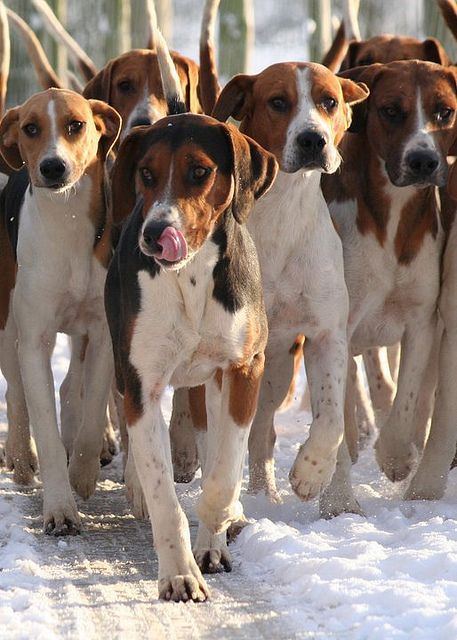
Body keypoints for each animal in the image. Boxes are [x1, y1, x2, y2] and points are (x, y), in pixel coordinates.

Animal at [0, 87, 121, 532]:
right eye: (30, 128)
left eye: (76, 125)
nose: (53, 166)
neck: (66, 221)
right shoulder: (34, 340)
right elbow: (47, 432)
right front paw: (60, 508)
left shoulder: (103, 334)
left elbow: (92, 411)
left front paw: (82, 474)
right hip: (8, 325)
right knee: (16, 393)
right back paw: (21, 456)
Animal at [104, 112, 276, 604]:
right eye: (146, 173)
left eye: (200, 171)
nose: (154, 234)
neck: (192, 276)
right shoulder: (142, 383)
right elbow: (164, 493)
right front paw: (179, 574)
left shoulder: (245, 367)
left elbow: (224, 471)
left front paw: (217, 527)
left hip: (211, 380)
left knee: (213, 440)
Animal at [214, 62, 370, 516]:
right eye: (278, 102)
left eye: (329, 101)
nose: (312, 138)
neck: (284, 209)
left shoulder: (326, 335)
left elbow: (332, 420)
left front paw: (312, 473)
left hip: (278, 368)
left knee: (262, 429)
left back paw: (268, 493)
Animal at [320, 58, 456, 496]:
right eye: (391, 110)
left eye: (444, 111)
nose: (423, 161)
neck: (392, 218)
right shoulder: (339, 324)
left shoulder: (423, 320)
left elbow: (407, 399)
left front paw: (396, 457)